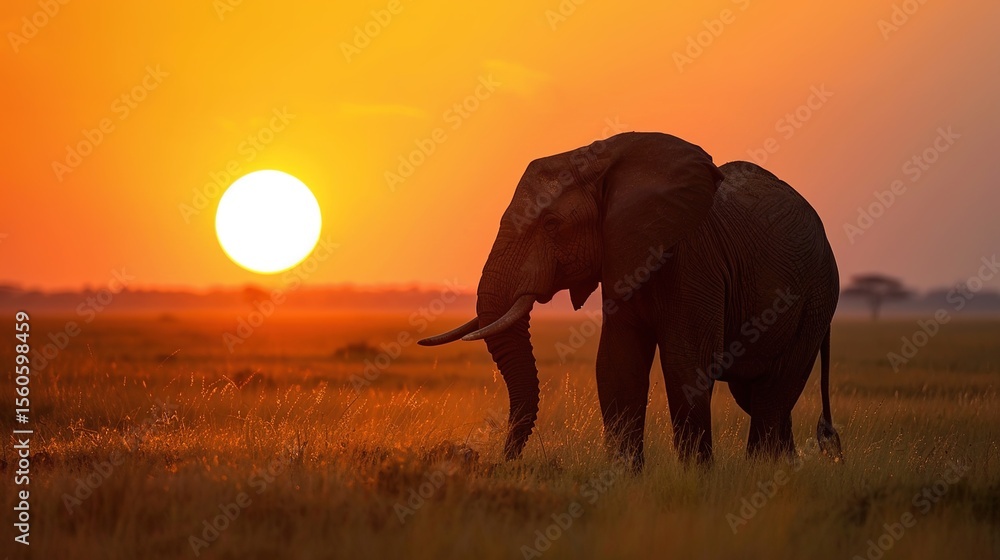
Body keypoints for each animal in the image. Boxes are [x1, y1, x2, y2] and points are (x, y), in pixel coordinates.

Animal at [419, 132, 843, 470]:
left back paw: (763, 473)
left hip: (817, 298)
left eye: (552, 225)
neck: (598, 159)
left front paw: (695, 479)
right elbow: (617, 365)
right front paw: (624, 478)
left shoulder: (692, 259)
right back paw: (782, 470)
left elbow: (685, 364)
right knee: (757, 395)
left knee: (774, 391)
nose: (501, 460)